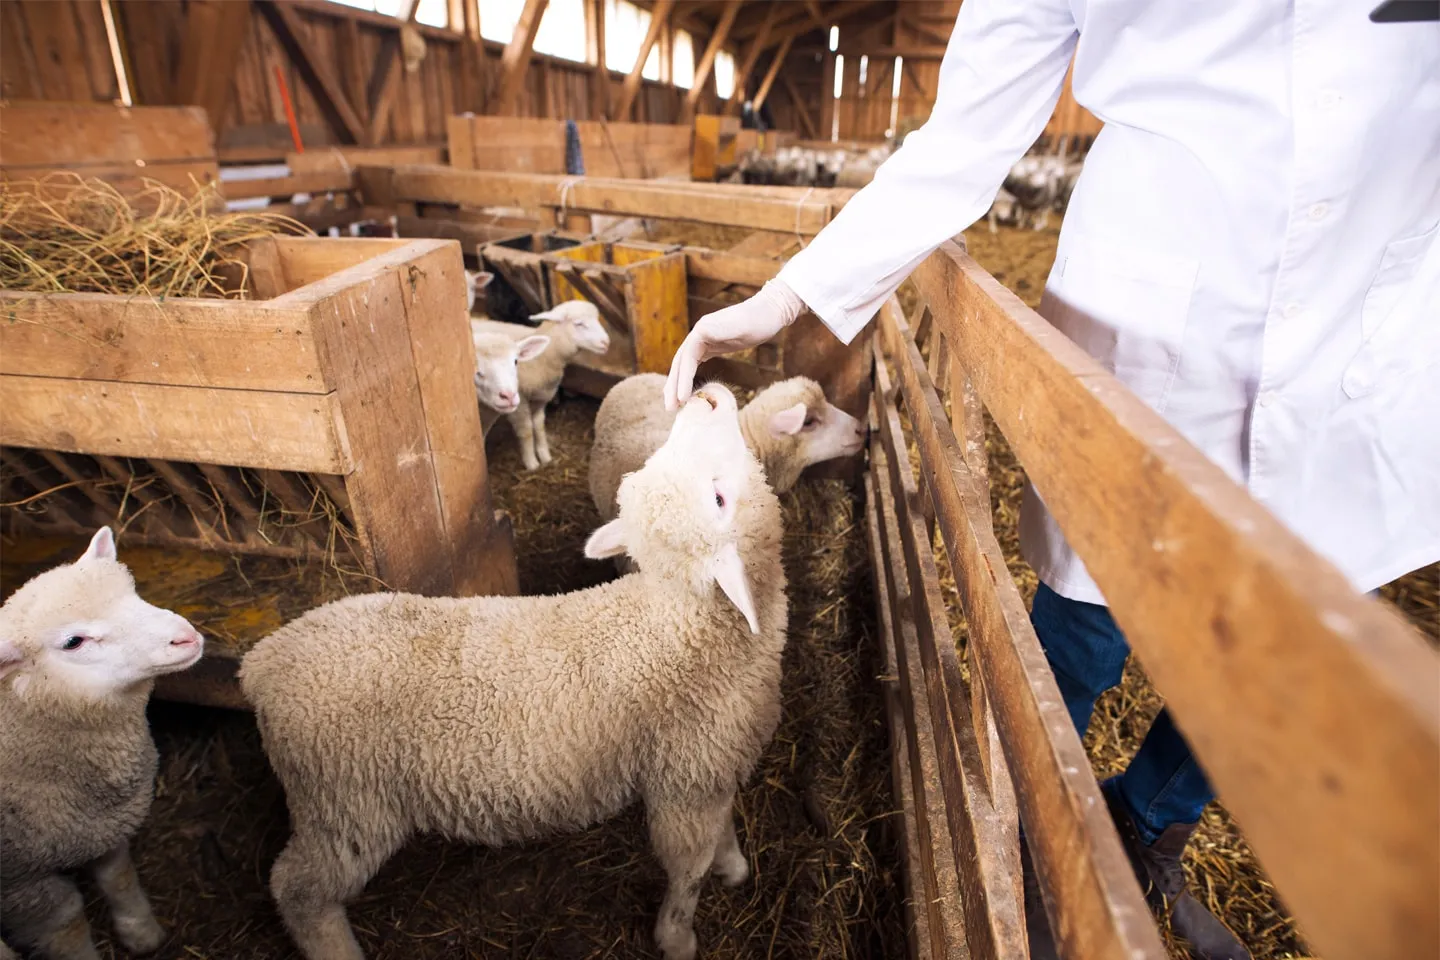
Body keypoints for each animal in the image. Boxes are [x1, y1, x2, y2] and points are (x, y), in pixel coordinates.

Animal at [0, 528, 204, 960]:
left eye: (134, 592)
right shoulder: (21, 882)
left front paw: (141, 933)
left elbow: (118, 876)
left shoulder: (101, 826)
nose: (185, 638)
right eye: (74, 641)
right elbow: (66, 923)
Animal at [240, 381, 787, 960]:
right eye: (718, 499)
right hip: (345, 803)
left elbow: (722, 830)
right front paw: (677, 937)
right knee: (297, 889)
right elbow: (687, 870)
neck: (682, 620)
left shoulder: (713, 767)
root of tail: (263, 661)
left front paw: (733, 866)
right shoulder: (685, 781)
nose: (704, 397)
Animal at [472, 299, 610, 470]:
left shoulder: (540, 399)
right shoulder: (521, 402)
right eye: (579, 324)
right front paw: (532, 463)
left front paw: (545, 457)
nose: (606, 342)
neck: (543, 357)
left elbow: (539, 427)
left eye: (516, 361)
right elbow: (527, 431)